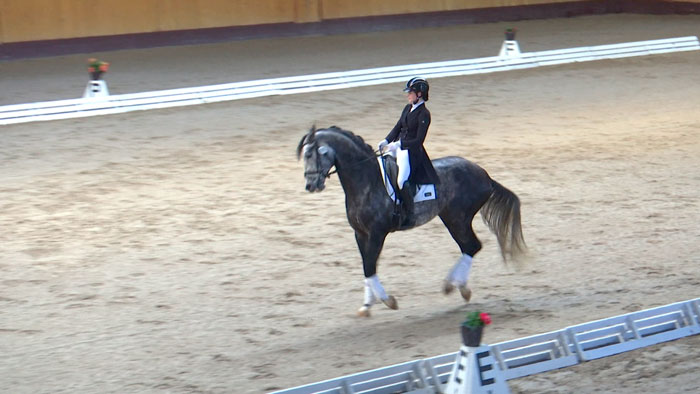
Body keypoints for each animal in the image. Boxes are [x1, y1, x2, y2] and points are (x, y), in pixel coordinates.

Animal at [296, 126, 524, 318]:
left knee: (472, 246)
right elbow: (366, 266)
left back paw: (455, 286)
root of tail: (484, 174)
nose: (311, 185)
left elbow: (369, 266)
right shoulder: (360, 234)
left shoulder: (377, 234)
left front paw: (388, 301)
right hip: (451, 217)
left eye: (312, 154)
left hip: (458, 218)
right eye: (304, 156)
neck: (366, 182)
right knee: (469, 246)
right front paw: (366, 306)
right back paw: (458, 287)